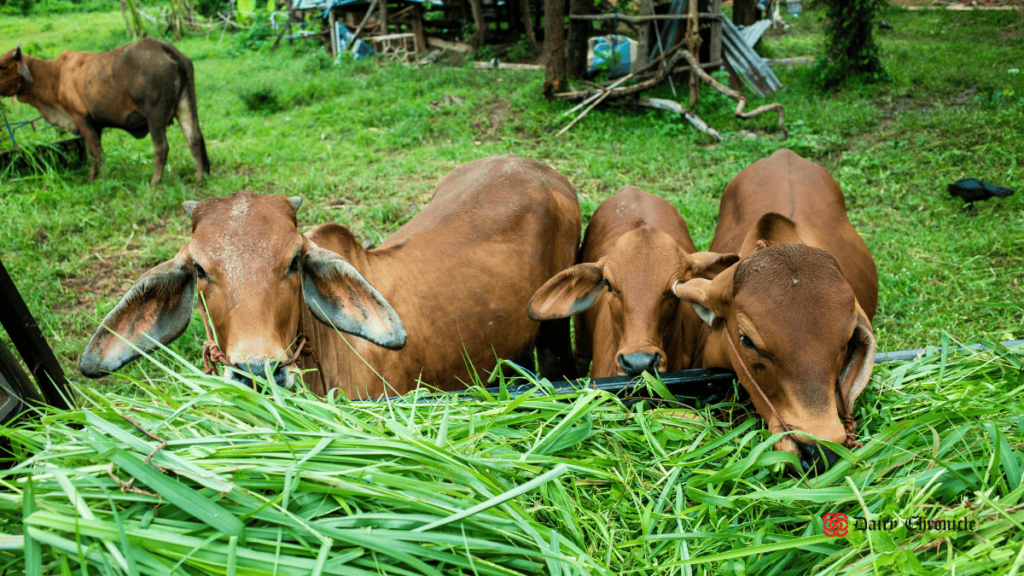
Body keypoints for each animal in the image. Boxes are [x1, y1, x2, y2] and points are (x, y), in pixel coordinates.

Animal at [0, 38, 209, 184]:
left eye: (2, 66)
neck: (55, 76)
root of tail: (161, 46)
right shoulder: (94, 124)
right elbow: (92, 152)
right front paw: (91, 178)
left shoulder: (80, 118)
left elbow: (97, 152)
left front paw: (102, 179)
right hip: (185, 105)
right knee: (194, 137)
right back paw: (200, 179)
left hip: (155, 115)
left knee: (162, 147)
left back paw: (154, 182)